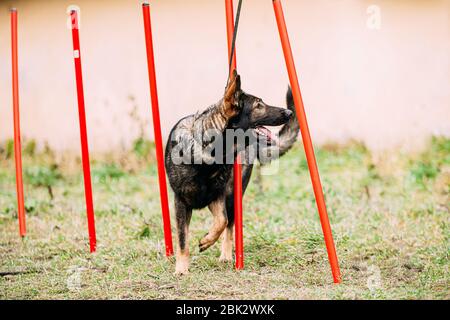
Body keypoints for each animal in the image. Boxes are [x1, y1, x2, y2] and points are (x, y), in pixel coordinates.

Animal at [164, 71, 298, 274]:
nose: (290, 113)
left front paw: (206, 240)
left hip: (233, 195)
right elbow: (182, 240)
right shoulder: (181, 202)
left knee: (229, 224)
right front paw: (181, 269)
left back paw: (226, 255)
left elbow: (222, 221)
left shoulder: (219, 195)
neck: (209, 154)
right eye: (258, 105)